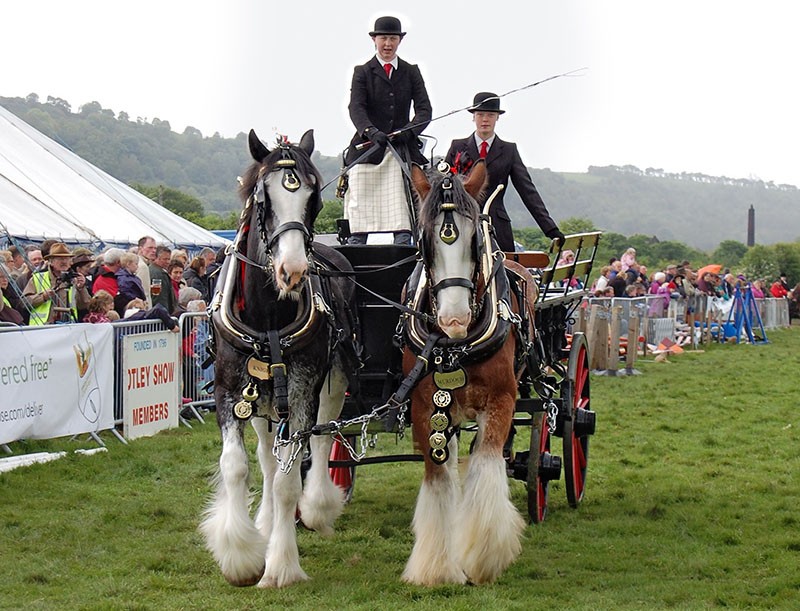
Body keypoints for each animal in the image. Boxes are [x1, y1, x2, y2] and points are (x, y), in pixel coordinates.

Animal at [202, 128, 358, 588]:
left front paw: (281, 565)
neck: (268, 314)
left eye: (313, 198)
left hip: (331, 382)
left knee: (322, 440)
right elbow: (238, 466)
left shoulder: (305, 388)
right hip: (263, 398)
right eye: (262, 198)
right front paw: (241, 554)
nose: (293, 271)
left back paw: (318, 506)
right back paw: (267, 523)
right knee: (267, 457)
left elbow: (291, 478)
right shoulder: (229, 389)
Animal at [400, 163, 536, 588]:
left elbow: (486, 463)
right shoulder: (425, 406)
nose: (454, 320)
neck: (456, 346)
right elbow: (438, 476)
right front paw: (436, 567)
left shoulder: (502, 400)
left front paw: (484, 555)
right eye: (424, 242)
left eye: (475, 239)